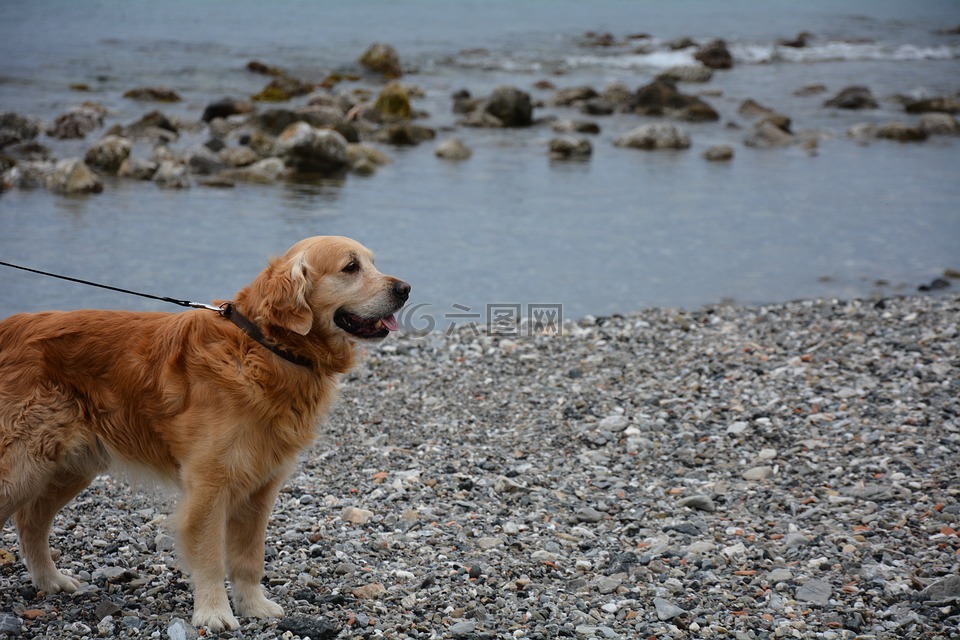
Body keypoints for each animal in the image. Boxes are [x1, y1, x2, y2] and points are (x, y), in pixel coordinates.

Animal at [0, 235, 408, 632]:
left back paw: (50, 580)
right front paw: (213, 613)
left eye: (372, 263)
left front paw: (253, 605)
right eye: (351, 267)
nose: (405, 288)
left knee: (31, 521)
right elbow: (211, 557)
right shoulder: (210, 485)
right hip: (23, 469)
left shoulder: (262, 487)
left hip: (68, 466)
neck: (266, 347)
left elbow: (249, 557)